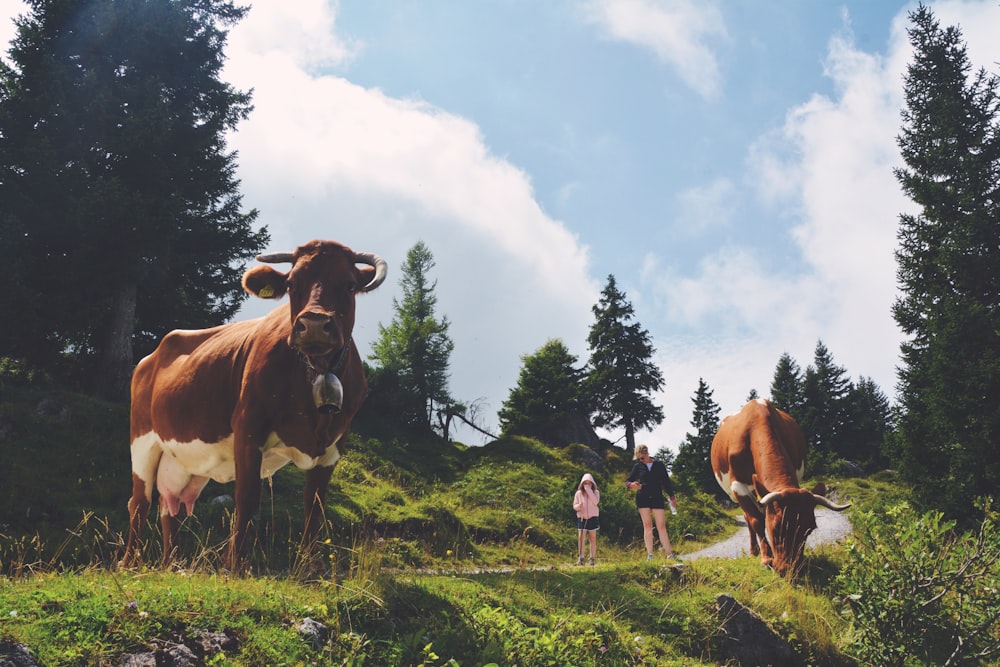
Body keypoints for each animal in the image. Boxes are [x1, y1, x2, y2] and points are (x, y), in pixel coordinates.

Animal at [122, 239, 386, 568]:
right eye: (292, 284)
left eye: (349, 284)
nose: (313, 324)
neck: (315, 371)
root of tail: (151, 356)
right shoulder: (248, 427)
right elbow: (247, 498)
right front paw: (235, 566)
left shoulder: (334, 444)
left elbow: (314, 507)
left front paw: (310, 567)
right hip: (143, 441)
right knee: (139, 503)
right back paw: (129, 564)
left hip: (183, 460)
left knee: (171, 507)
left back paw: (174, 565)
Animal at [708, 400, 848, 576]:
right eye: (776, 527)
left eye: (809, 529)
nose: (790, 570)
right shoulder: (738, 486)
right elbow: (756, 521)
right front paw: (766, 558)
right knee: (748, 518)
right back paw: (754, 551)